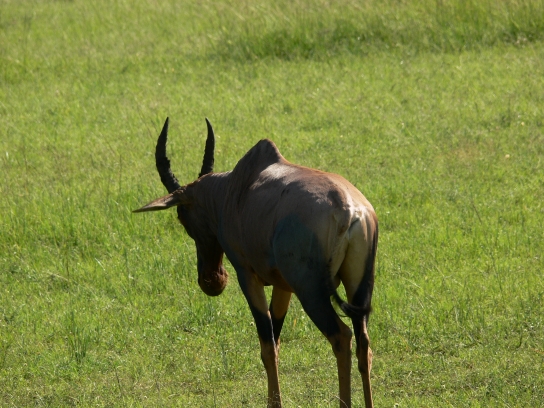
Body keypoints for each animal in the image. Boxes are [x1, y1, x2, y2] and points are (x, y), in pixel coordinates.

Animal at [134, 118, 378, 408]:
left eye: (182, 216)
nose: (212, 280)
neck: (237, 186)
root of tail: (350, 211)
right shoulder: (283, 286)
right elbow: (276, 339)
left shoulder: (247, 275)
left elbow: (266, 345)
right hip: (359, 288)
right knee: (364, 344)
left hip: (311, 292)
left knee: (341, 337)